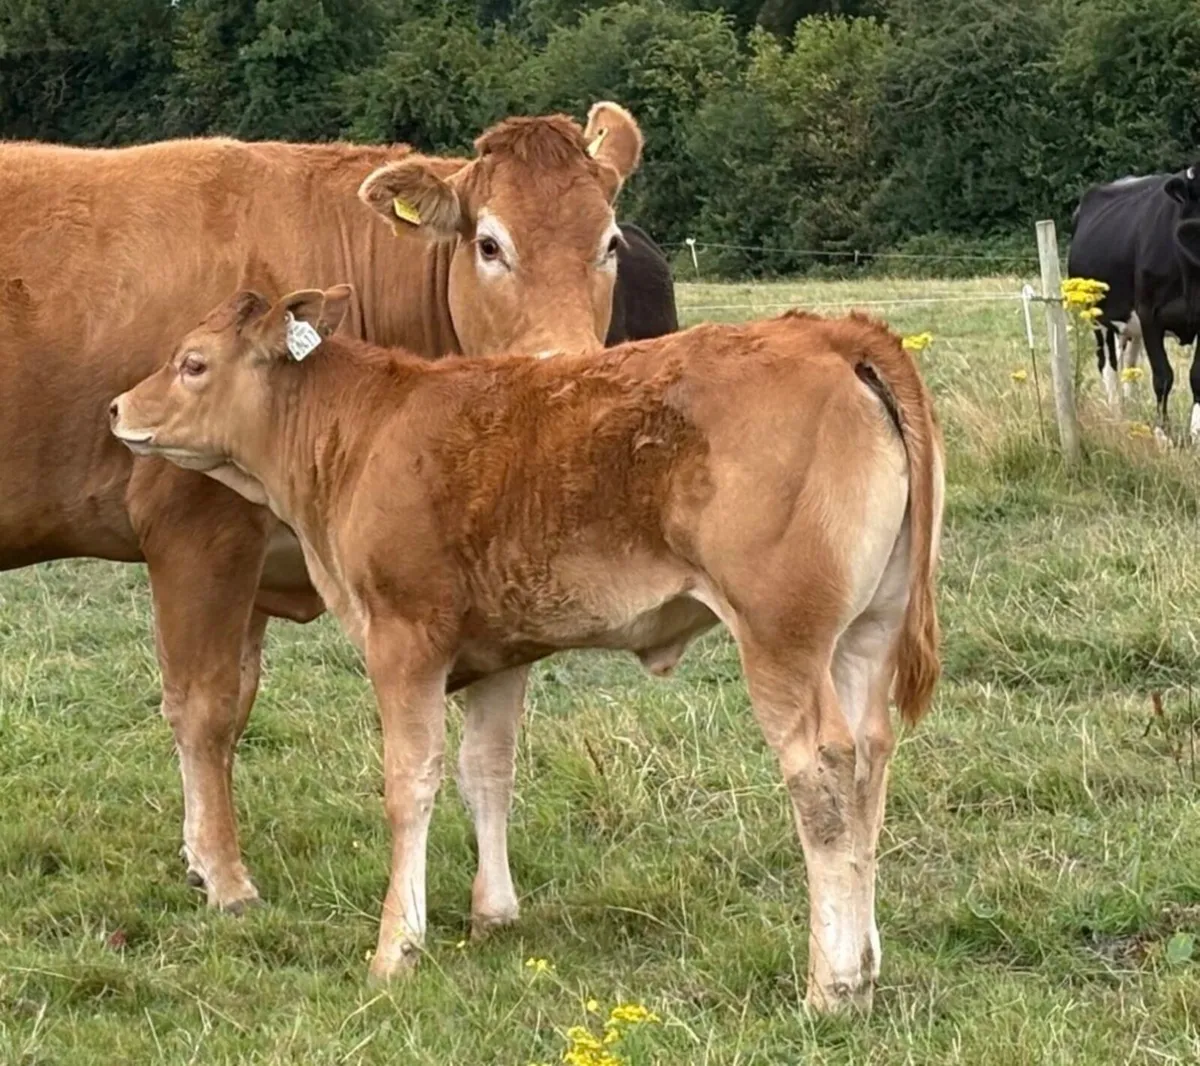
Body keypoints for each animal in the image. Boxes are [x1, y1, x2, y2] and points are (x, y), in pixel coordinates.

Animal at [0, 102, 643, 915]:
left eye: (610, 243)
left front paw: (198, 855)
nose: (569, 368)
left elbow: (241, 700)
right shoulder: (198, 530)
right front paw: (226, 876)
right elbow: (204, 705)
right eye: (490, 244)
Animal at [110, 285, 944, 1013]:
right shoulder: (502, 649)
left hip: (781, 638)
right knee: (870, 760)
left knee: (823, 774)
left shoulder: (404, 637)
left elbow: (410, 783)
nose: (117, 408)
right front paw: (493, 914)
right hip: (864, 634)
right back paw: (865, 965)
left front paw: (395, 947)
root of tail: (834, 333)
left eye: (191, 362)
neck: (364, 432)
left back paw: (831, 986)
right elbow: (487, 772)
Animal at [1068, 166, 1200, 438]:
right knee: (1108, 364)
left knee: (1130, 366)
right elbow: (1163, 376)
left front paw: (1196, 434)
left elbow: (1197, 376)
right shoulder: (1151, 315)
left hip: (1131, 326)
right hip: (1097, 317)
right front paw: (1163, 435)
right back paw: (1116, 415)